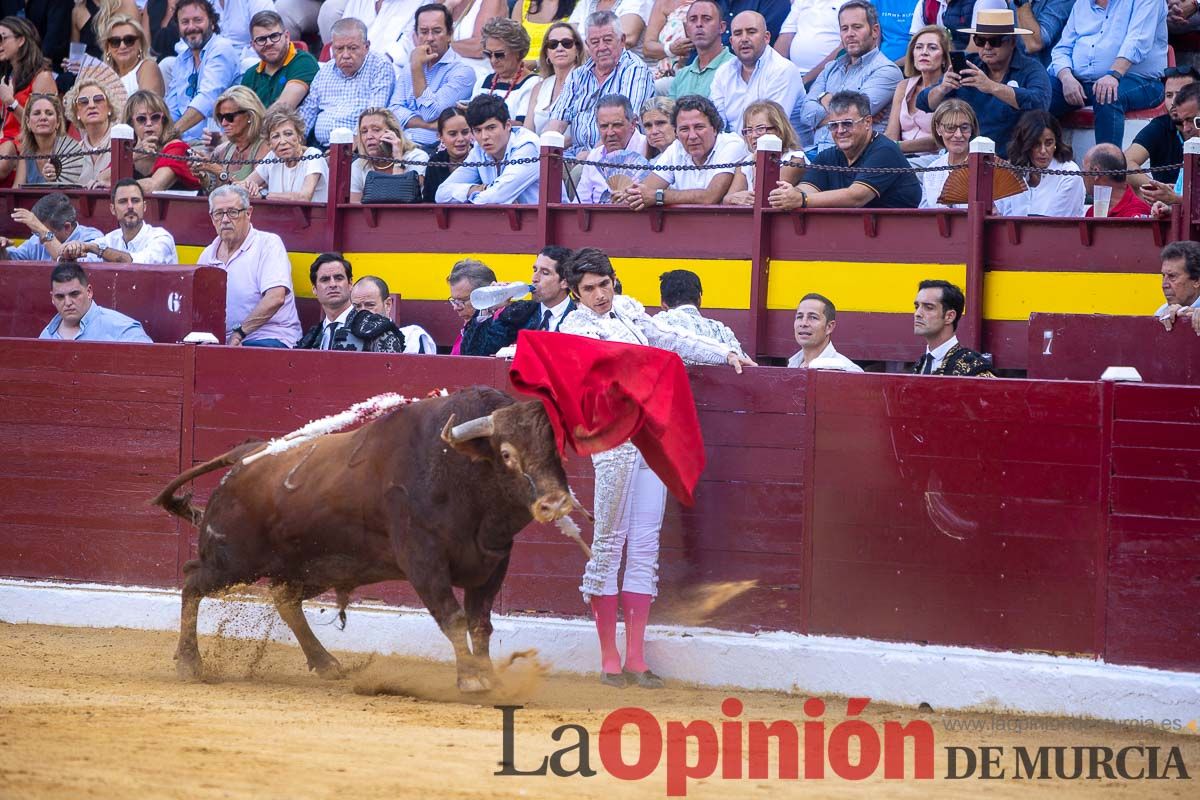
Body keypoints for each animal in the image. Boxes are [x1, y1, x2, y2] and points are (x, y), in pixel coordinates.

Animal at [152, 383, 573, 690]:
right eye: (507, 454)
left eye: (555, 451)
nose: (555, 502)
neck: (461, 472)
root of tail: (247, 455)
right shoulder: (423, 561)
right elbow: (453, 618)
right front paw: (471, 680)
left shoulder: (492, 562)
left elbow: (480, 624)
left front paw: (488, 678)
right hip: (233, 562)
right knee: (192, 581)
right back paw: (190, 663)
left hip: (314, 565)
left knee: (284, 598)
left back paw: (326, 664)